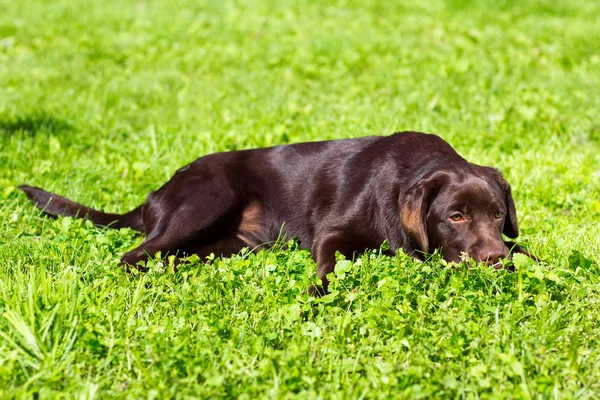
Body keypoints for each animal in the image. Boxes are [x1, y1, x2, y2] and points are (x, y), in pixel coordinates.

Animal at [19, 131, 536, 294]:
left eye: (497, 215)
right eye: (455, 216)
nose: (494, 260)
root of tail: (154, 194)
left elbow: (527, 249)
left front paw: (526, 259)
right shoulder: (330, 234)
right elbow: (328, 268)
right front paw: (315, 293)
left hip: (226, 246)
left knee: (172, 256)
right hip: (207, 201)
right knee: (133, 256)